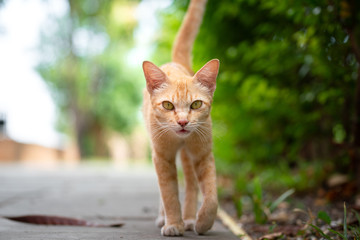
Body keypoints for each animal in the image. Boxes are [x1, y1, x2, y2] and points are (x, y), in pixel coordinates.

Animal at [142, 0, 218, 236]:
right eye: (168, 105)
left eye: (196, 104)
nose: (183, 122)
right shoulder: (162, 157)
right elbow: (168, 193)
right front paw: (174, 223)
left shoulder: (203, 155)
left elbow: (211, 196)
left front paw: (203, 222)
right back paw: (164, 218)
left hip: (188, 157)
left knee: (192, 185)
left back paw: (191, 219)